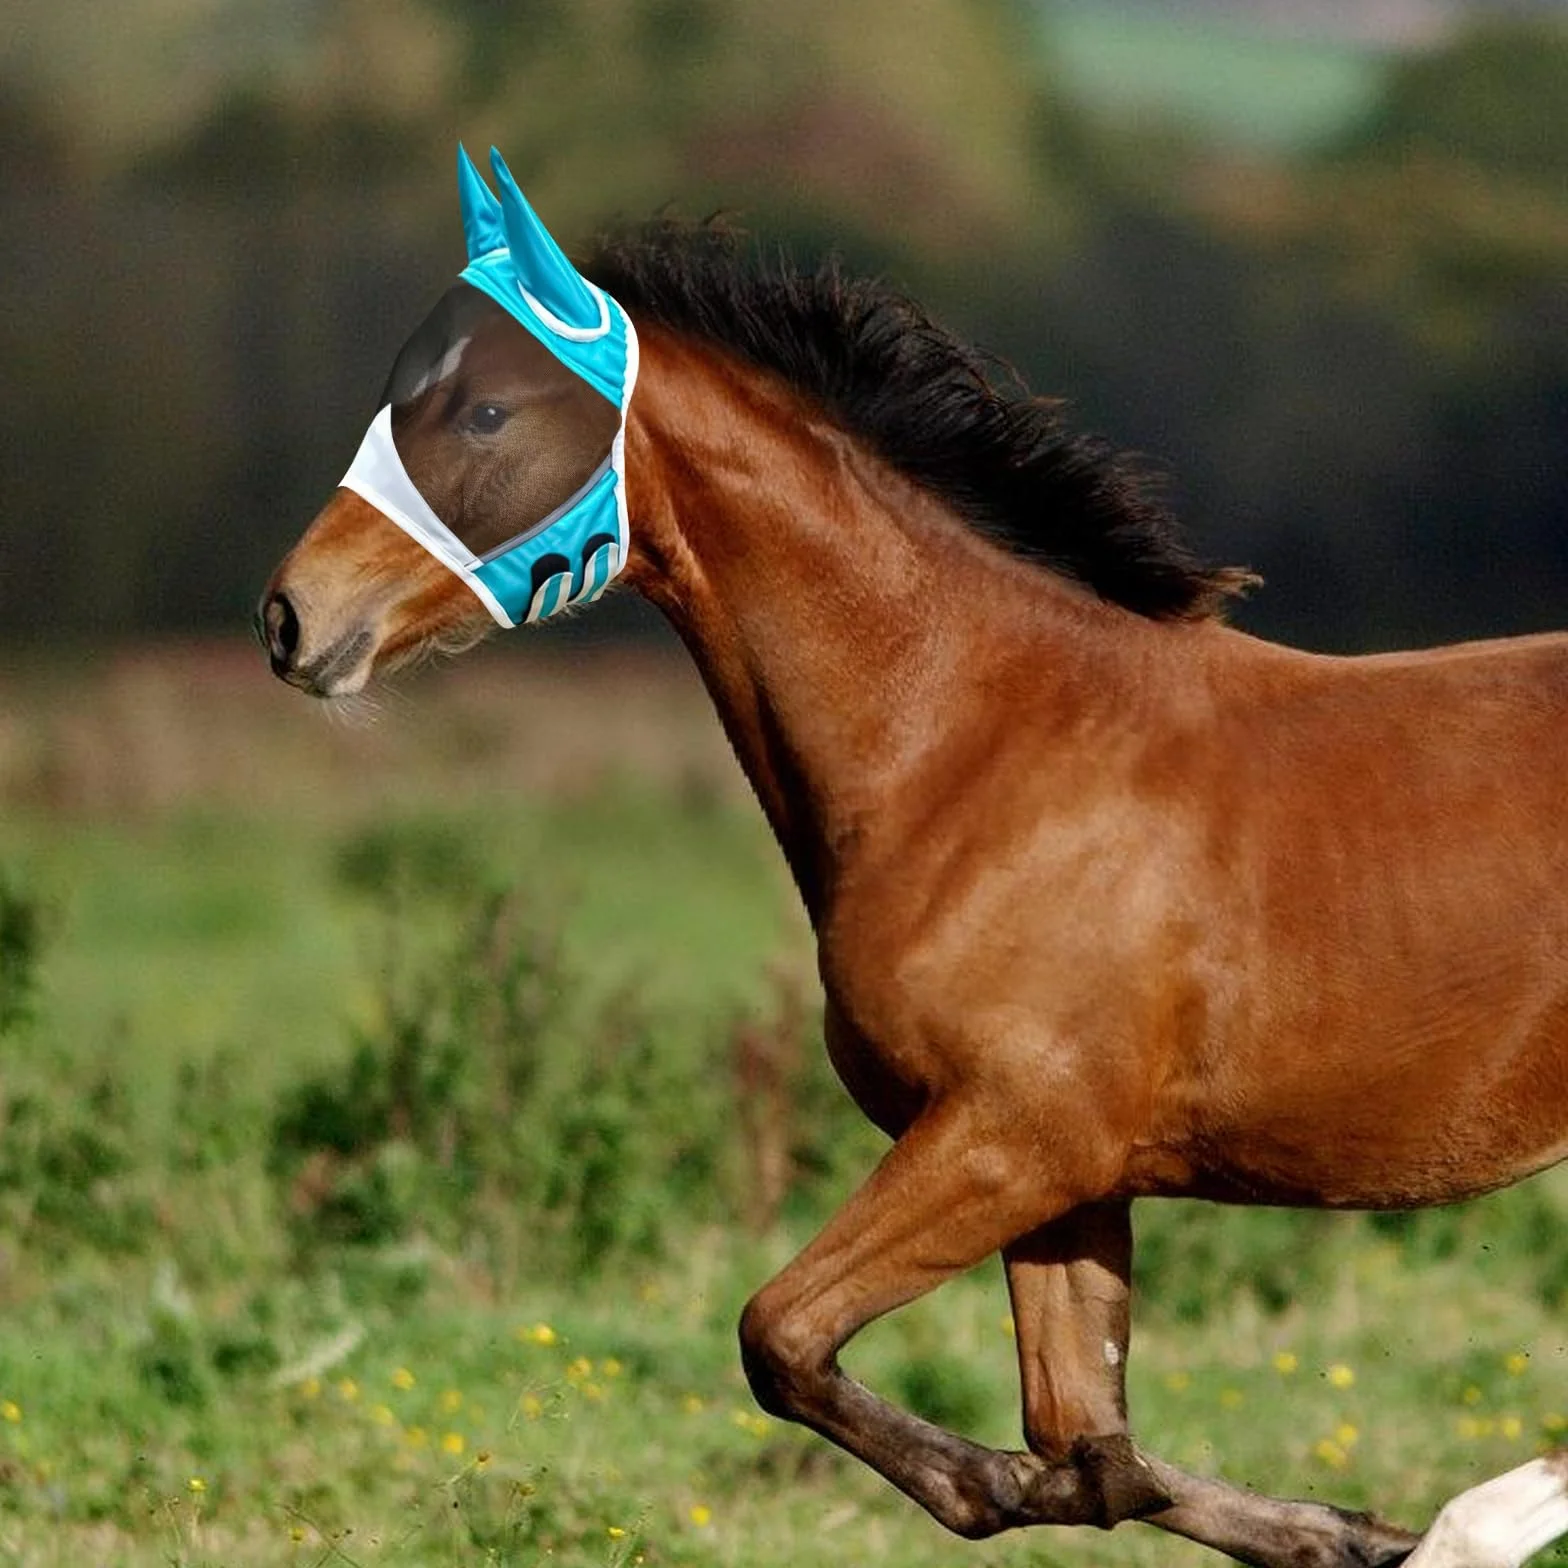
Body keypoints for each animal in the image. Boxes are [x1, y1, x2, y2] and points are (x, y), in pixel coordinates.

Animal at [260, 215, 1568, 1568]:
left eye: (484, 413)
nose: (292, 615)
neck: (970, 740)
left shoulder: (1008, 1137)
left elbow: (787, 1338)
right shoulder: (1070, 1177)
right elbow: (1089, 1447)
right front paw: (1332, 1530)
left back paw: (1474, 1525)